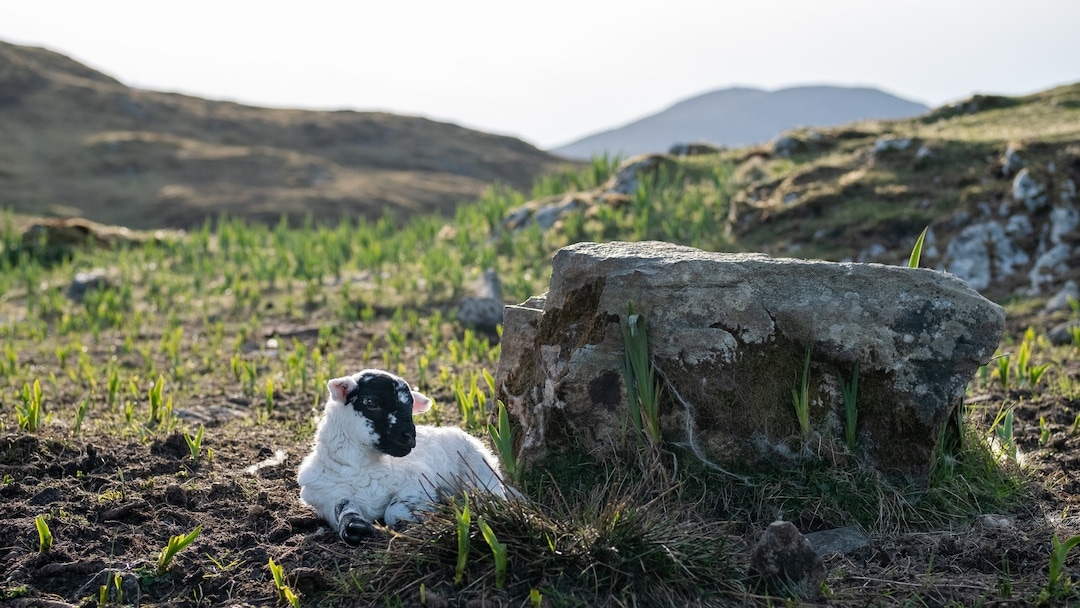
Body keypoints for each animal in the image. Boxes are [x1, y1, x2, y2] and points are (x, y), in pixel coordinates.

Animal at [298, 369, 511, 544]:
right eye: (371, 402)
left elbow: (392, 512)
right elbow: (342, 506)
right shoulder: (324, 497)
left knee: (492, 490)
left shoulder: (417, 480)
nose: (410, 436)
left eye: (410, 405)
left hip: (478, 468)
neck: (363, 467)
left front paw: (428, 511)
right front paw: (354, 526)